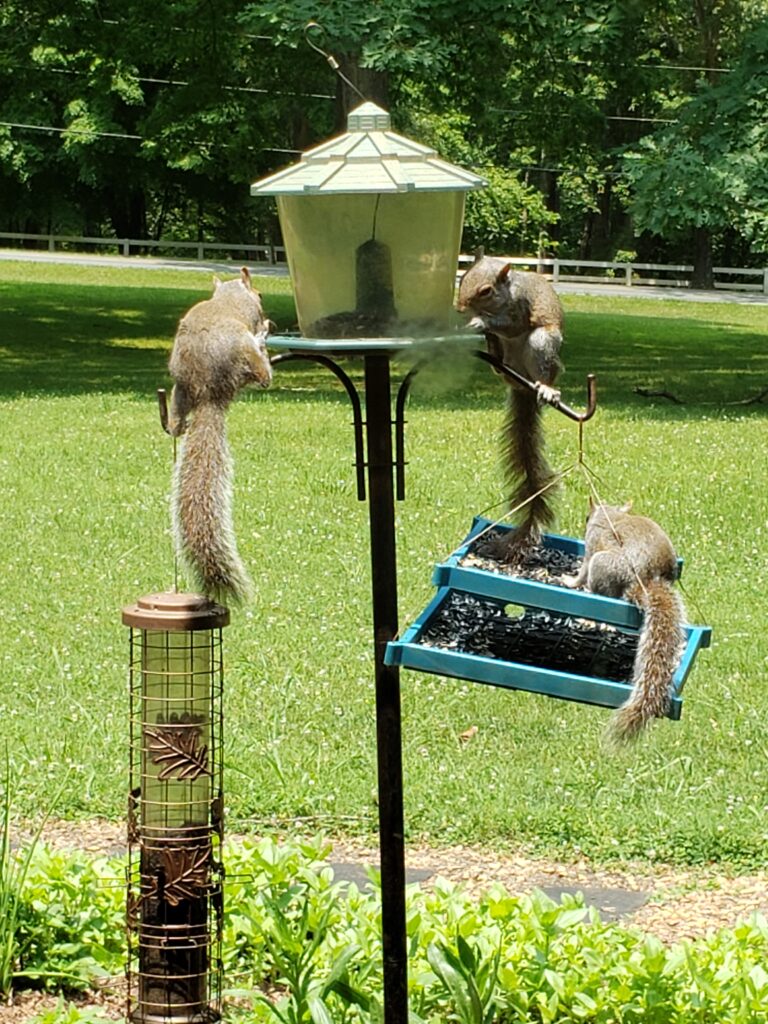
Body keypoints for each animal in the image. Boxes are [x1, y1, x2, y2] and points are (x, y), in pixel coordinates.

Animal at [165, 266, 274, 606]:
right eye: (260, 294)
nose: (264, 308)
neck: (228, 295)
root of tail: (208, 391)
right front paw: (265, 325)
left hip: (179, 391)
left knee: (176, 421)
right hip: (245, 352)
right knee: (263, 376)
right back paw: (263, 346)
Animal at [456, 253, 565, 561]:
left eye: (486, 291)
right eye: (463, 276)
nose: (459, 307)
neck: (507, 294)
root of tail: (522, 385)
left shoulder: (521, 308)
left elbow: (510, 324)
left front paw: (480, 322)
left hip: (542, 344)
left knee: (541, 364)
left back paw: (546, 387)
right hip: (506, 359)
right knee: (499, 354)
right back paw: (495, 361)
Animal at [565, 497, 684, 745]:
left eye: (587, 518)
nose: (584, 524)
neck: (611, 515)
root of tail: (645, 582)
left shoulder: (591, 547)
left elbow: (582, 570)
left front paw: (570, 580)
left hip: (602, 565)